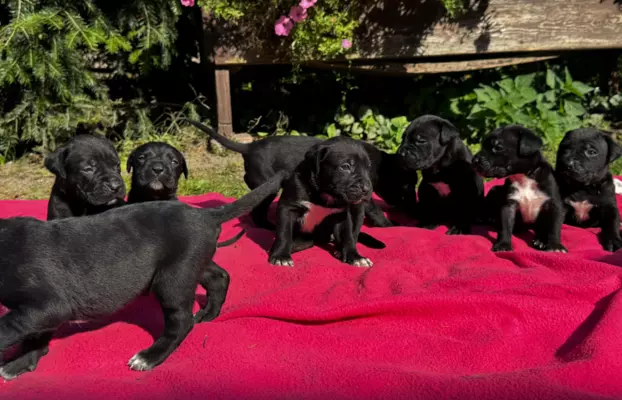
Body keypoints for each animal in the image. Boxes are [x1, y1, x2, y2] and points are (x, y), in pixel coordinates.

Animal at [0, 171, 288, 378]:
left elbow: (13, 327)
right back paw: (208, 314)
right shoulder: (44, 311)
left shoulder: (47, 305)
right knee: (219, 278)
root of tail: (206, 214)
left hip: (172, 279)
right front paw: (21, 363)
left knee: (181, 321)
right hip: (190, 263)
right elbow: (35, 337)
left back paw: (150, 356)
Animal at [186, 119, 420, 228]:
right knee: (257, 212)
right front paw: (391, 226)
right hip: (267, 186)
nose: (412, 209)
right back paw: (268, 227)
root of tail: (249, 147)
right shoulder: (364, 193)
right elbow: (377, 213)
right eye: (406, 186)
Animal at [270, 136, 382, 268]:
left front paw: (355, 257)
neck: (324, 194)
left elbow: (348, 236)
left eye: (368, 168)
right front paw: (281, 256)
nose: (367, 189)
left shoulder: (341, 215)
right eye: (345, 166)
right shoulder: (288, 207)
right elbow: (284, 233)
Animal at [472, 124, 572, 253]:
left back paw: (540, 240)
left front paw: (555, 246)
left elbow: (553, 227)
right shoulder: (508, 205)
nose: (474, 160)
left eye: (498, 147)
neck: (523, 177)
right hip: (494, 190)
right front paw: (503, 244)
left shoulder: (554, 204)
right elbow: (505, 227)